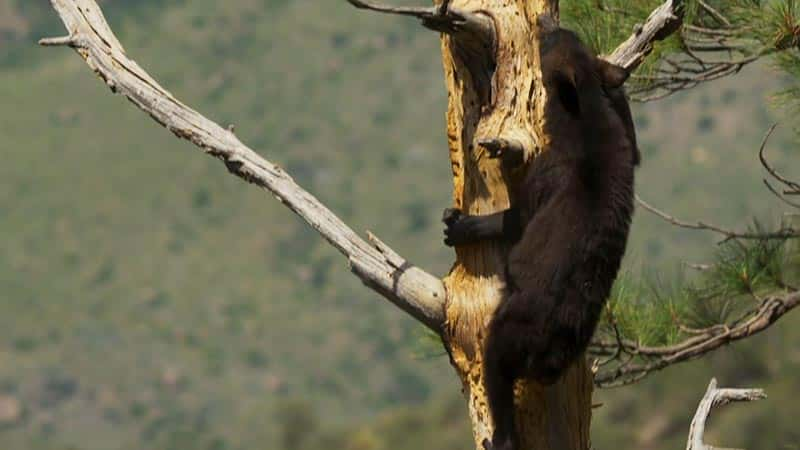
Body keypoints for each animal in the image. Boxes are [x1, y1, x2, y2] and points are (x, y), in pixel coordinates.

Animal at [444, 23, 636, 450]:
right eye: (573, 37)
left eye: (551, 42)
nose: (549, 26)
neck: (587, 115)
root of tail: (552, 351)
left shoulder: (544, 175)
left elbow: (513, 219)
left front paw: (460, 225)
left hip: (508, 334)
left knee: (496, 372)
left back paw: (499, 437)